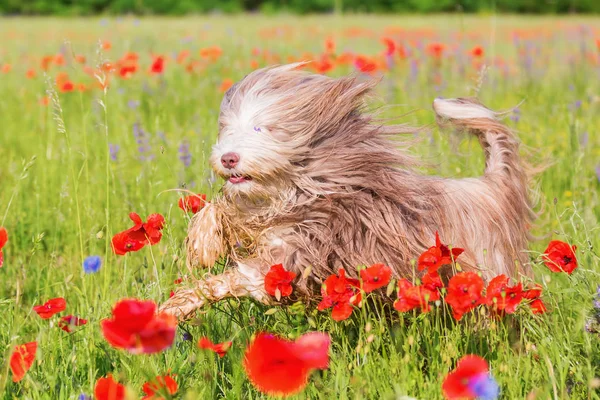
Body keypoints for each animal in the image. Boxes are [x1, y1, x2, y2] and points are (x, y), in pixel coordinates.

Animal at [159, 63, 536, 318]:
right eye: (228, 130)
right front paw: (204, 243)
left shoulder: (294, 256)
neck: (304, 189)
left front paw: (177, 306)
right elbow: (224, 211)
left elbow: (235, 279)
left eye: (261, 129)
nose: (228, 158)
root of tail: (492, 186)